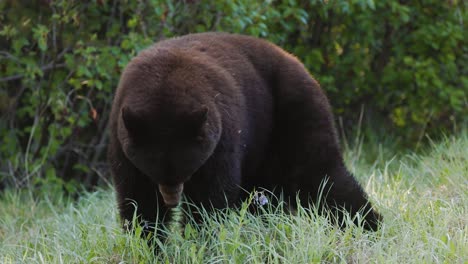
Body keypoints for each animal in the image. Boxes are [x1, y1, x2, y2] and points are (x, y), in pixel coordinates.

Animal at [108, 32, 382, 234]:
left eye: (187, 169)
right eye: (153, 169)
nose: (172, 200)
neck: (165, 84)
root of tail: (298, 62)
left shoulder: (222, 139)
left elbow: (210, 199)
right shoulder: (123, 141)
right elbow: (138, 199)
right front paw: (149, 241)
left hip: (293, 111)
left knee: (320, 173)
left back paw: (368, 225)